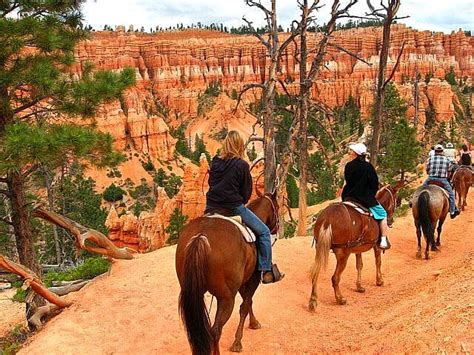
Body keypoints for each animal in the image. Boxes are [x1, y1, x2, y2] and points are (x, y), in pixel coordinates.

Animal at [175, 193, 280, 354]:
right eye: (278, 207)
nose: (276, 229)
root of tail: (200, 237)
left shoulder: (243, 281)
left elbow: (248, 302)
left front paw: (253, 323)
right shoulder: (252, 279)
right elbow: (245, 305)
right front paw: (237, 342)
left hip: (193, 292)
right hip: (226, 298)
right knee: (215, 330)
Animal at [308, 184, 400, 312]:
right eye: (395, 199)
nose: (390, 221)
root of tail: (327, 219)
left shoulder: (358, 248)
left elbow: (359, 265)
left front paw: (359, 286)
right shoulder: (376, 246)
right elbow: (378, 262)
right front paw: (379, 280)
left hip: (320, 248)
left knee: (315, 272)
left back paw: (313, 300)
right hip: (343, 254)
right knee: (335, 278)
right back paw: (340, 299)